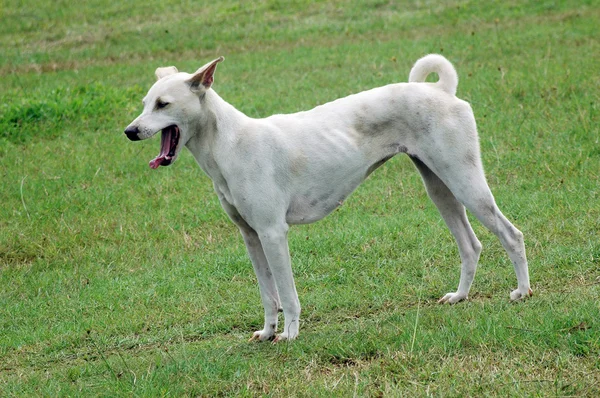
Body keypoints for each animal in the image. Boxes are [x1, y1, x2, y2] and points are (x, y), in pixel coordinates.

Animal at [124, 54, 532, 342]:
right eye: (145, 102)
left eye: (163, 104)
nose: (130, 131)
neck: (230, 144)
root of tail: (442, 92)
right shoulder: (251, 237)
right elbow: (267, 294)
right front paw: (268, 332)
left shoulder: (273, 234)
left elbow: (286, 294)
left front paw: (289, 334)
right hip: (440, 189)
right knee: (471, 246)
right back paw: (460, 296)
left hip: (466, 183)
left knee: (511, 235)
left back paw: (522, 292)